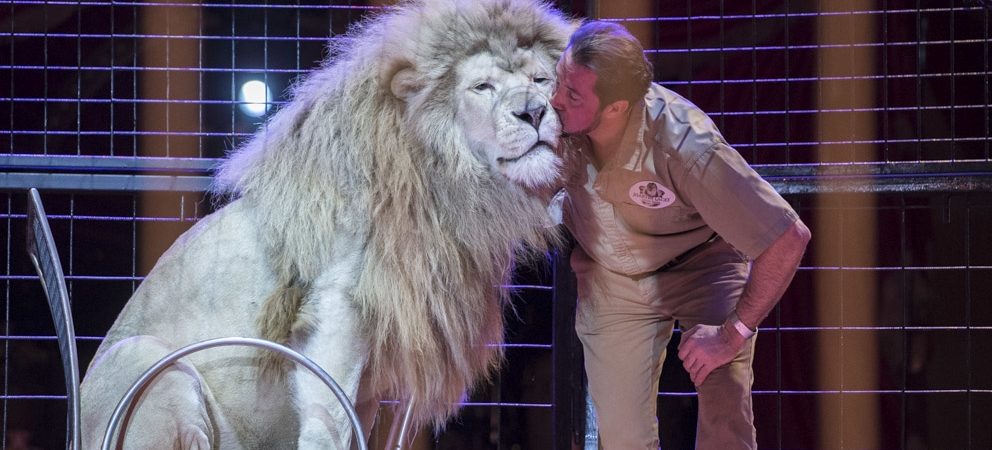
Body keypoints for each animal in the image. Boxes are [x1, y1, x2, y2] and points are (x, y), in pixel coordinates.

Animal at [79, 0, 572, 448]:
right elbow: (329, 417)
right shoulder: (338, 306)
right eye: (482, 86)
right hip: (145, 358)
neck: (447, 180)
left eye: (540, 80)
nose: (533, 111)